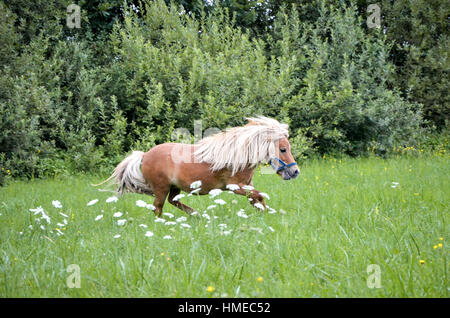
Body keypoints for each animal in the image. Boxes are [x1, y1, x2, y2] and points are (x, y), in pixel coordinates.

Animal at [98, 117, 298, 216]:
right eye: (283, 149)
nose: (295, 172)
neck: (237, 156)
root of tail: (144, 155)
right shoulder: (235, 187)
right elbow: (259, 196)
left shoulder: (247, 186)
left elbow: (257, 198)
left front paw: (265, 214)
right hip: (161, 188)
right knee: (158, 207)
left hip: (174, 187)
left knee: (173, 201)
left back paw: (195, 214)